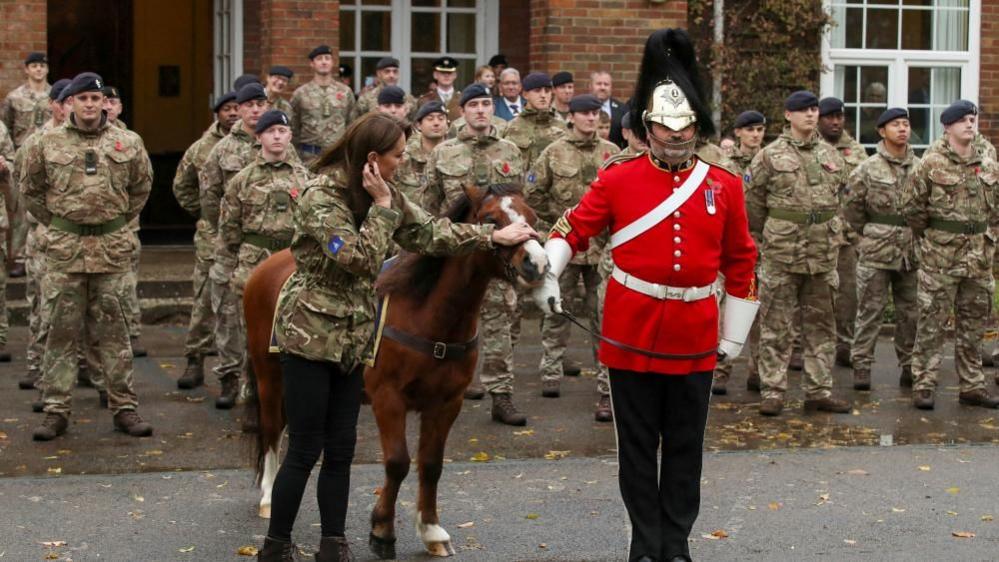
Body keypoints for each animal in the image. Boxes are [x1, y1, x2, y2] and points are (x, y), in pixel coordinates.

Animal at [246, 183, 552, 556]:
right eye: (492, 219)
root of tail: (266, 267)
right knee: (272, 429)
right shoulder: (388, 399)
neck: (429, 317)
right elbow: (397, 462)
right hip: (269, 377)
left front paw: (431, 530)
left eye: (532, 217)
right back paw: (268, 496)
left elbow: (431, 464)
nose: (536, 263)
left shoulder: (447, 403)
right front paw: (382, 530)